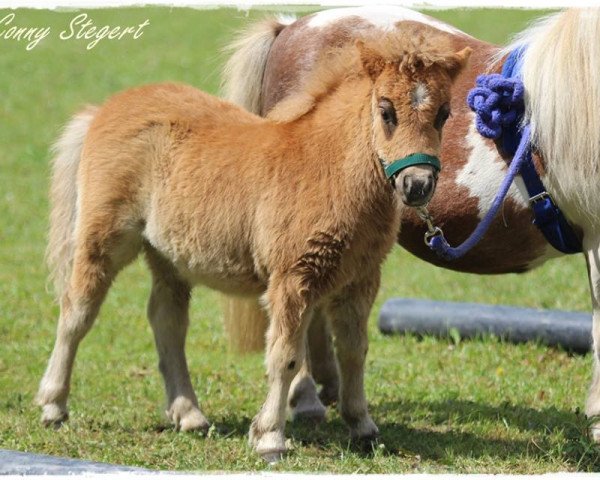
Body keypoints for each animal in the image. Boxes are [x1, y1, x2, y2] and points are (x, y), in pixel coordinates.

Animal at [37, 27, 472, 462]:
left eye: (443, 114)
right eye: (386, 111)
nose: (417, 185)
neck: (327, 168)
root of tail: (104, 108)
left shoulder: (359, 280)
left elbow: (353, 351)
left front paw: (362, 427)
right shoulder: (292, 278)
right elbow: (287, 357)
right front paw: (270, 438)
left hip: (169, 256)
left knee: (167, 321)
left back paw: (189, 415)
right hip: (105, 238)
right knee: (77, 313)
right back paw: (53, 405)